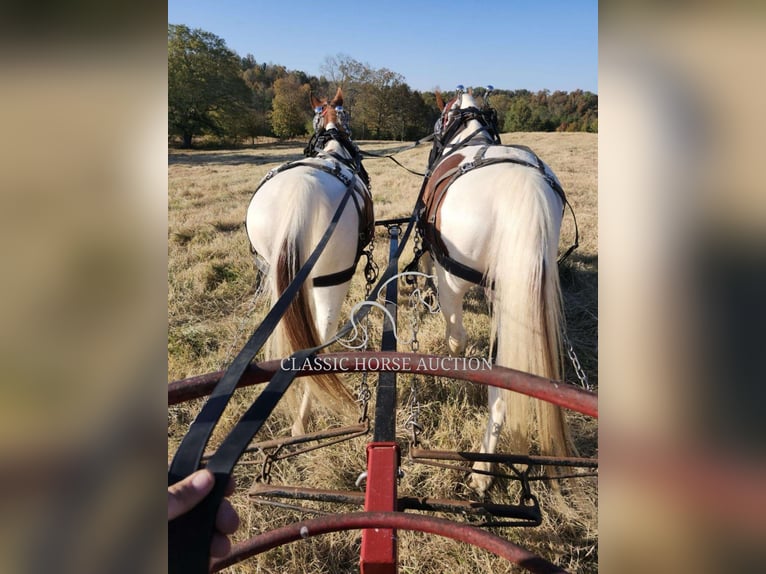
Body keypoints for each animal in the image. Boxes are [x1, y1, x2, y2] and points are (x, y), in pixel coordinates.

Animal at [420, 88, 576, 498]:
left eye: (442, 116)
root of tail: (523, 189)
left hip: (456, 280)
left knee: (458, 337)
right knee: (504, 379)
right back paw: (485, 467)